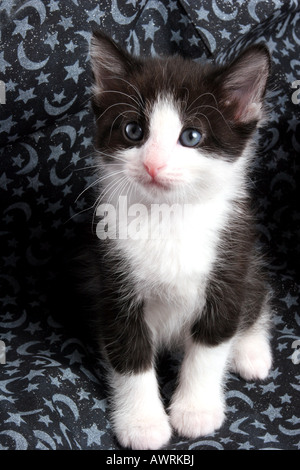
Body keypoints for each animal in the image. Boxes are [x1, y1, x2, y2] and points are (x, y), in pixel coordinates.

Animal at [85, 31, 274, 450]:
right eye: (133, 131)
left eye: (191, 136)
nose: (153, 164)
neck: (168, 217)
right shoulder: (112, 278)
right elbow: (129, 354)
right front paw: (143, 424)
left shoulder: (229, 262)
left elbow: (210, 346)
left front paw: (196, 412)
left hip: (248, 258)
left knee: (256, 293)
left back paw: (252, 350)